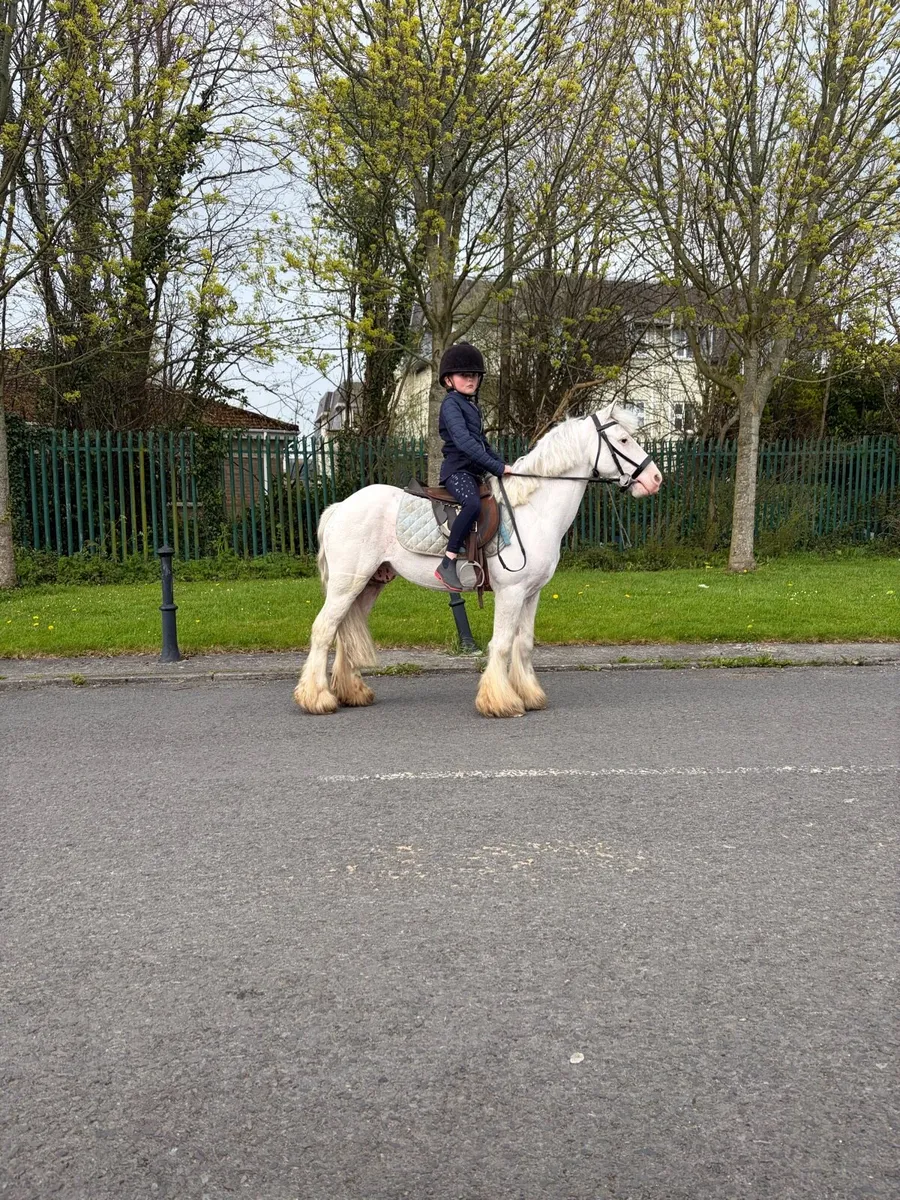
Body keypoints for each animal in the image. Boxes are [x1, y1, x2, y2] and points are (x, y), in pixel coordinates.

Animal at [294, 404, 662, 718]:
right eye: (624, 440)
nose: (655, 478)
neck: (534, 510)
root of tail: (340, 506)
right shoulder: (511, 592)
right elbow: (501, 644)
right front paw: (500, 701)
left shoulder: (531, 594)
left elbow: (523, 644)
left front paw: (529, 695)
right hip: (347, 584)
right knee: (324, 629)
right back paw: (317, 698)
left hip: (369, 585)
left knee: (344, 632)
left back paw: (352, 692)